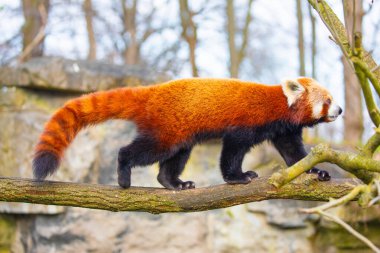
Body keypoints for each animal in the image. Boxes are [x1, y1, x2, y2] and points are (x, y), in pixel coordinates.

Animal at [32, 77, 342, 190]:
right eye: (327, 100)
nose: (339, 110)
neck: (279, 107)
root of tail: (151, 92)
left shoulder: (284, 129)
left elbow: (294, 155)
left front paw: (318, 172)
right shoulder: (247, 123)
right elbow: (232, 150)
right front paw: (238, 177)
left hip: (181, 134)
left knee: (175, 158)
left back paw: (173, 183)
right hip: (166, 130)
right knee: (141, 151)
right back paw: (124, 175)